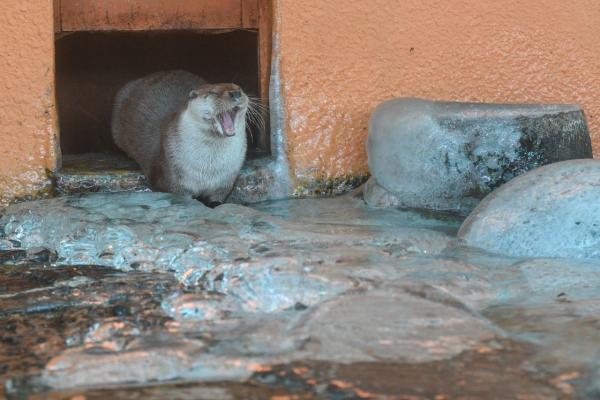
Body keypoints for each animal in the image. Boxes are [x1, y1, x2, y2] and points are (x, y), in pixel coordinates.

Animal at [112, 70, 248, 205]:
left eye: (239, 88)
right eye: (213, 92)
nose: (236, 93)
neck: (208, 170)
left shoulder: (225, 181)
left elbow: (218, 197)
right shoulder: (171, 178)